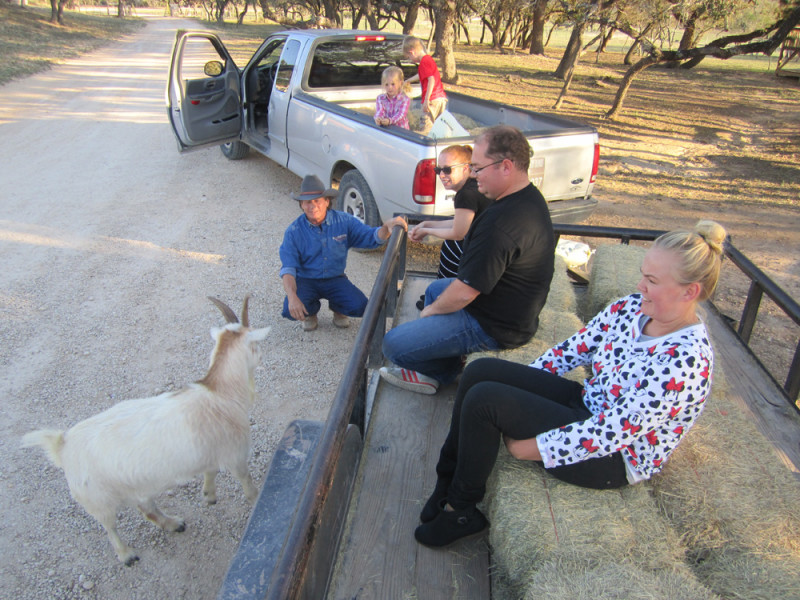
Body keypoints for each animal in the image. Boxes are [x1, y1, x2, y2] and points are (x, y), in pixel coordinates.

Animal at [21, 296, 270, 568]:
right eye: (256, 344)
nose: (262, 357)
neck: (220, 393)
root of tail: (61, 445)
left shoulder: (210, 450)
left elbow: (210, 470)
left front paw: (209, 495)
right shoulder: (235, 454)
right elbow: (246, 482)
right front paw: (256, 499)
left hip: (135, 487)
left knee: (146, 508)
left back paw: (173, 523)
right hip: (98, 500)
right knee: (109, 526)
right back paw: (127, 554)